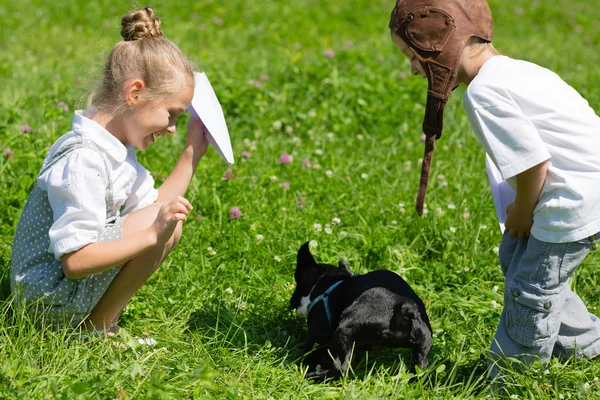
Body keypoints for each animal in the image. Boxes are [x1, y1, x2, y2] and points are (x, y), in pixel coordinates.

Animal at [290, 241, 432, 382]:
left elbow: (309, 352)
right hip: (422, 348)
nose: (292, 300)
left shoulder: (317, 334)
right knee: (419, 368)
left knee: (340, 367)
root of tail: (405, 307)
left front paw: (299, 363)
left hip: (344, 330)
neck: (333, 283)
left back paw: (314, 376)